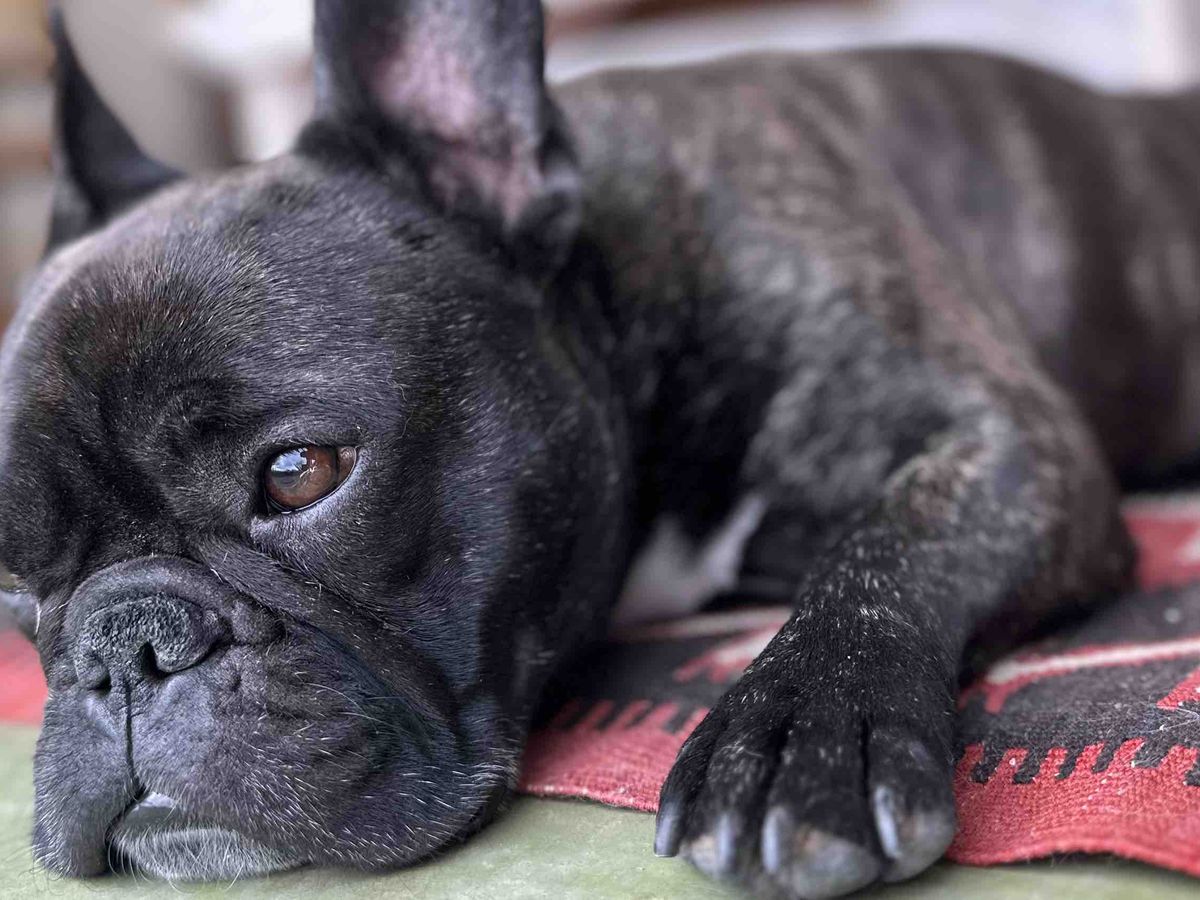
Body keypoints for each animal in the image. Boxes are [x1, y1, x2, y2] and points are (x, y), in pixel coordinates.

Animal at [8, 0, 1197, 895]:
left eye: (299, 476)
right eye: (9, 578)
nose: (126, 648)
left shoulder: (1007, 443)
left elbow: (888, 547)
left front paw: (801, 733)